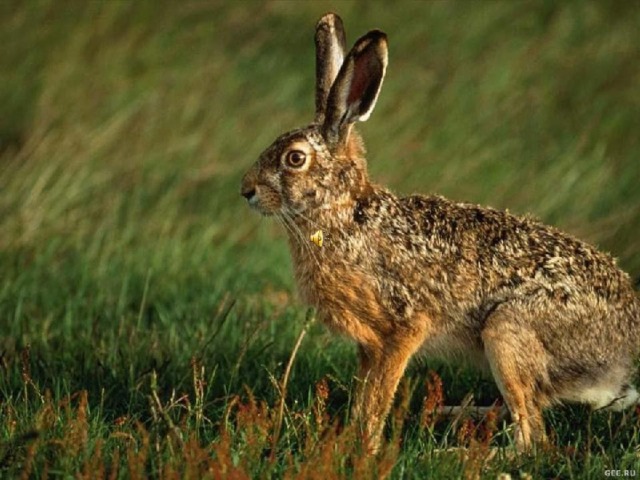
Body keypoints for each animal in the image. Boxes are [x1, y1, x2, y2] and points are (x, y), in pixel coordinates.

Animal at [240, 12, 640, 452]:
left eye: (295, 159)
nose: (246, 190)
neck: (342, 214)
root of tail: (622, 354)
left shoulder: (403, 327)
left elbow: (378, 397)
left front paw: (367, 447)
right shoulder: (368, 345)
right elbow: (365, 393)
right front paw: (352, 439)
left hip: (507, 331)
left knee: (532, 439)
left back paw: (456, 449)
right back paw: (447, 414)